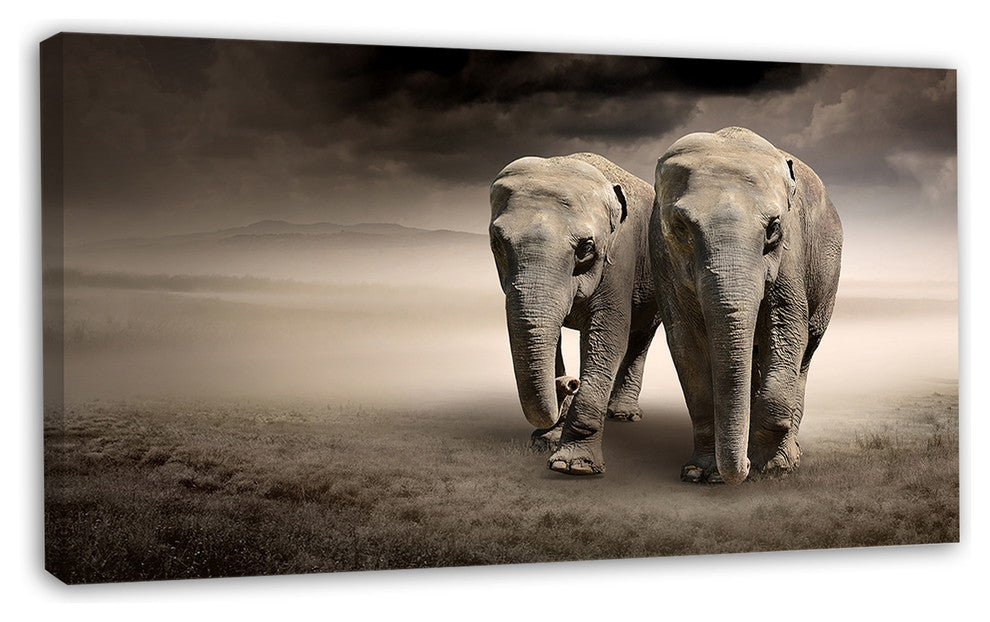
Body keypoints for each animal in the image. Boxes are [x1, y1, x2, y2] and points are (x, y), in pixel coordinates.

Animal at [489, 153, 661, 474]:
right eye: (497, 243)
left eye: (586, 247)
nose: (569, 382)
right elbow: (548, 336)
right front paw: (546, 441)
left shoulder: (620, 259)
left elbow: (606, 338)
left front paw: (573, 466)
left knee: (641, 335)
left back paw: (623, 415)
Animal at [648, 127, 842, 485]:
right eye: (680, 227)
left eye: (774, 227)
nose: (745, 467)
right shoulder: (661, 255)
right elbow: (685, 344)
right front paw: (699, 473)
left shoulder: (790, 254)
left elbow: (787, 328)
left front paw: (770, 467)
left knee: (806, 351)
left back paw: (788, 455)